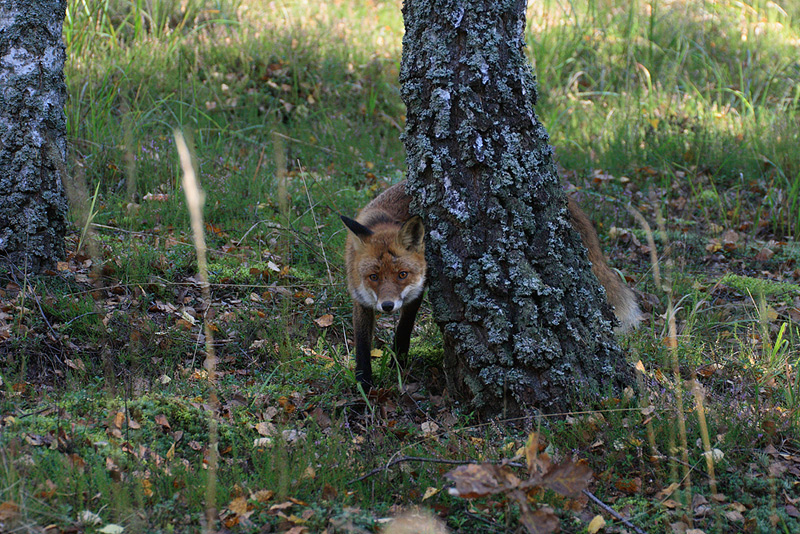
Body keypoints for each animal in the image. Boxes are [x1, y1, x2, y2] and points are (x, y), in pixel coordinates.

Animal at [341, 180, 641, 389]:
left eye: (402, 274)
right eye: (374, 277)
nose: (387, 306)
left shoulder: (415, 292)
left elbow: (403, 330)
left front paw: (398, 362)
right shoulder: (360, 299)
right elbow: (362, 346)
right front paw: (364, 385)